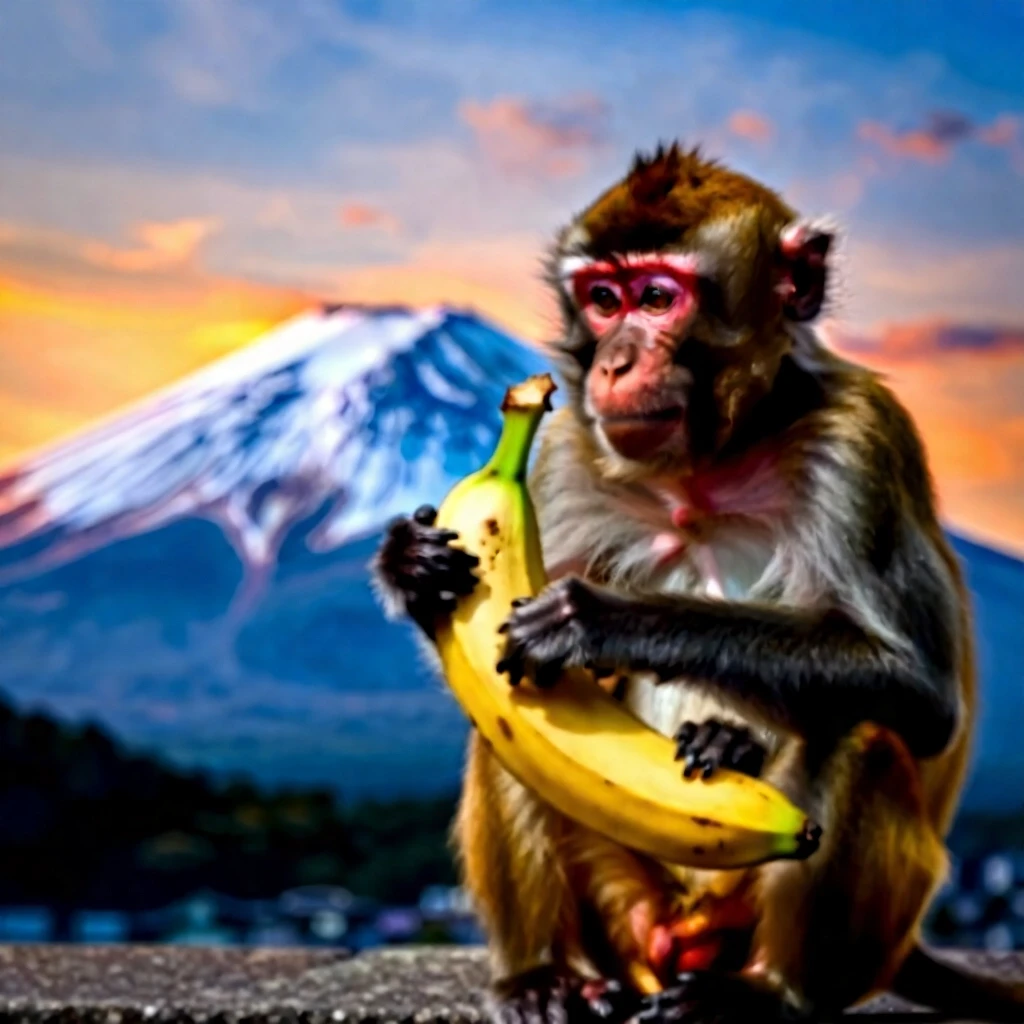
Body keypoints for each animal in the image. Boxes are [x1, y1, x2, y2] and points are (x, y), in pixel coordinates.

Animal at [373, 143, 1024, 1023]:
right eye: (603, 300)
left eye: (658, 297)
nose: (615, 361)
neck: (703, 467)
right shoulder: (565, 454)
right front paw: (410, 566)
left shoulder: (862, 439)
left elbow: (919, 694)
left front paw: (601, 621)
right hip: (622, 903)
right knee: (502, 726)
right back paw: (545, 976)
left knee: (866, 735)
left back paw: (771, 990)